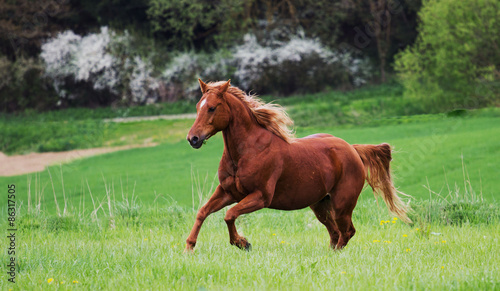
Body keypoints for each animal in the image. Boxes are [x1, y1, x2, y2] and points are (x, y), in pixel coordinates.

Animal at [185, 80, 410, 253]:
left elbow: (229, 215)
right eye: (197, 107)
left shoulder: (260, 197)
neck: (246, 152)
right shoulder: (227, 192)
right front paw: (189, 247)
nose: (192, 139)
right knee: (335, 232)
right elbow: (203, 212)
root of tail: (352, 149)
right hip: (320, 205)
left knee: (347, 232)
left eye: (212, 107)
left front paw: (242, 243)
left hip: (342, 204)